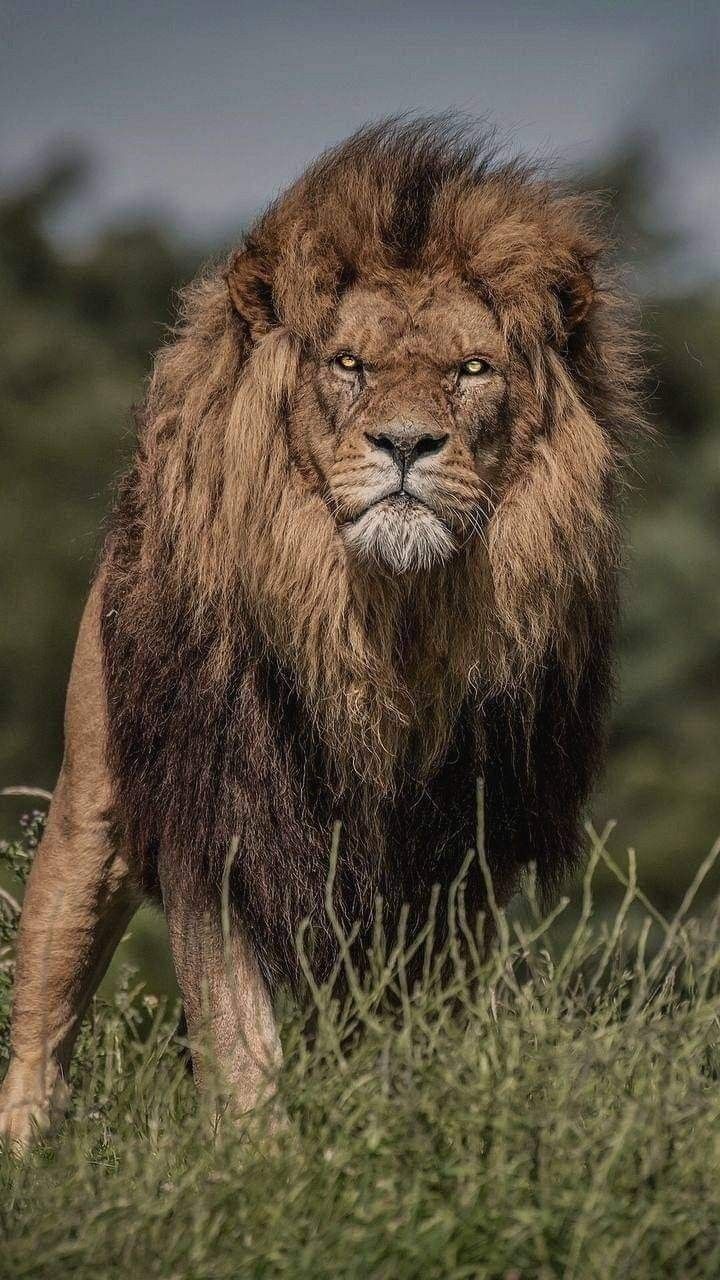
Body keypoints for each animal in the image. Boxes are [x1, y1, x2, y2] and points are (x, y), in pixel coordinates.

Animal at [0, 117, 638, 1141]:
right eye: (349, 365)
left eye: (472, 369)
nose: (407, 444)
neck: (382, 620)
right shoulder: (218, 810)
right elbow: (236, 1037)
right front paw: (260, 1158)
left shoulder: (457, 854)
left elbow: (423, 1025)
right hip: (91, 804)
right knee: (43, 1006)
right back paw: (28, 1149)